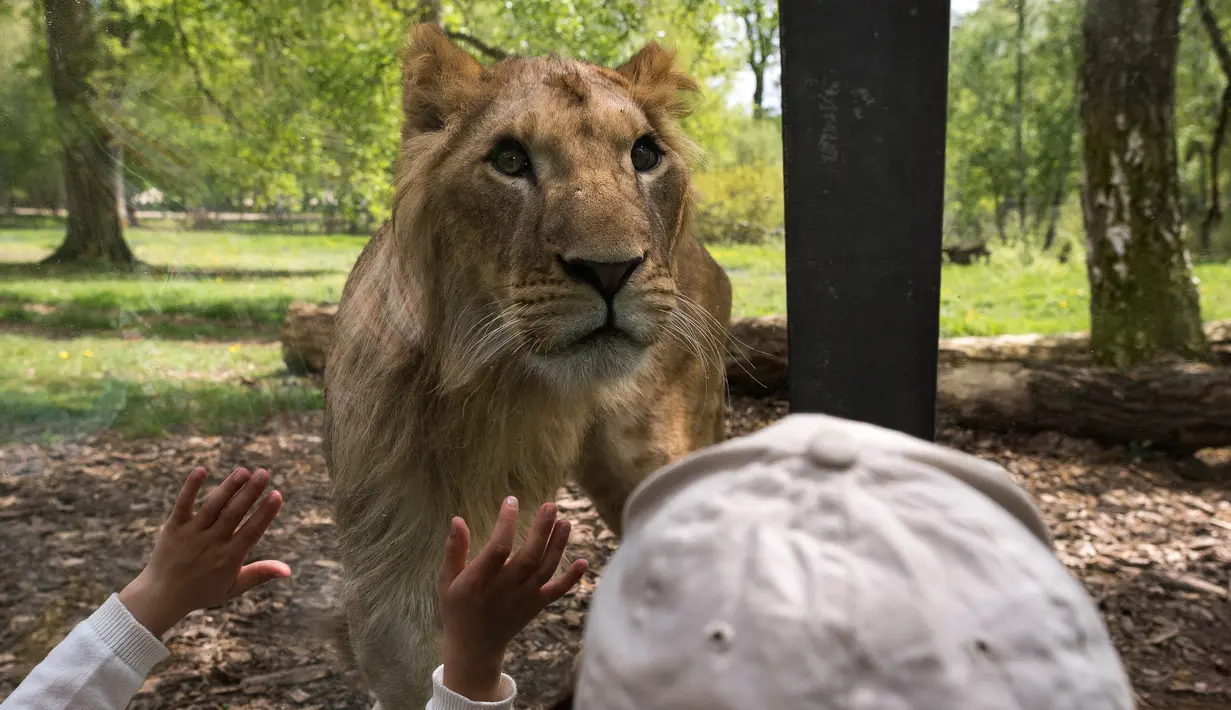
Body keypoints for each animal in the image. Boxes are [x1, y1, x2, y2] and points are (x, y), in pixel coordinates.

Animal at [322, 23, 733, 708]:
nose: (611, 269)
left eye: (645, 155)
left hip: (653, 452)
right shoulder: (388, 572)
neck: (490, 388)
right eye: (511, 160)